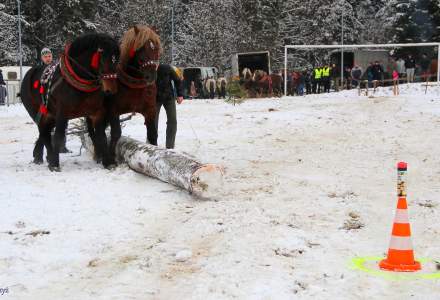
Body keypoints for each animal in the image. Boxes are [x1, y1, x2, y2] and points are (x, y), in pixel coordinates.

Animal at [21, 32, 119, 171]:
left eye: (117, 60)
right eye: (103, 58)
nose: (111, 89)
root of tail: (29, 73)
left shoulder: (97, 113)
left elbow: (101, 137)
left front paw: (107, 162)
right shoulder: (62, 113)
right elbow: (58, 136)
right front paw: (55, 165)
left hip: (50, 115)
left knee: (45, 133)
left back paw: (43, 156)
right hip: (39, 113)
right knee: (44, 134)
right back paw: (47, 157)